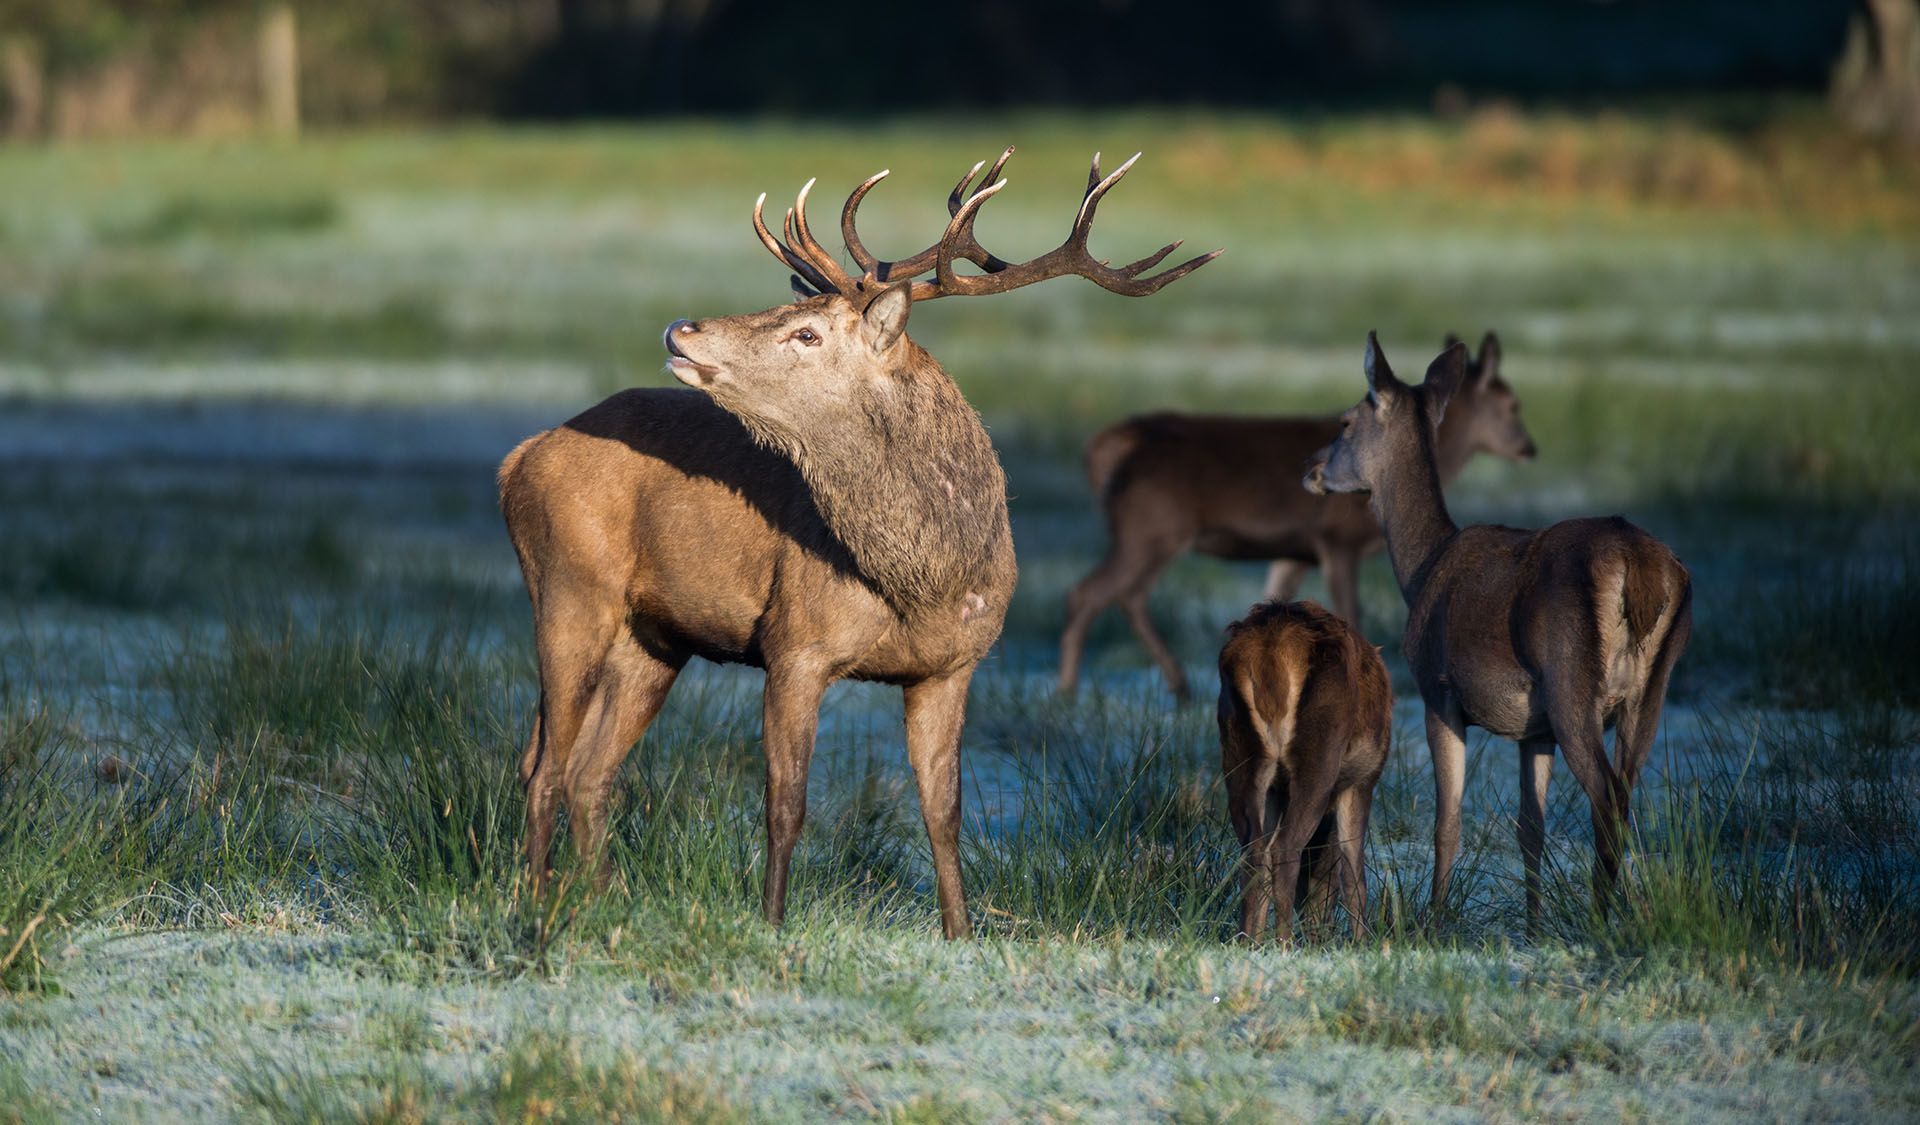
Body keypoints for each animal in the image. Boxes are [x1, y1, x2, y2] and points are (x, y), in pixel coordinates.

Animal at [495, 148, 1213, 936]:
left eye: (806, 333)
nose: (682, 328)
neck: (924, 584)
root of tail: (521, 458)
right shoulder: (794, 644)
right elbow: (786, 806)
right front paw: (773, 925)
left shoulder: (954, 666)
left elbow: (944, 813)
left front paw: (961, 933)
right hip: (569, 587)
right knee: (541, 765)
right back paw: (535, 905)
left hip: (654, 636)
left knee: (589, 771)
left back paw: (601, 901)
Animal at [1059, 330, 1536, 698]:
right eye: (1513, 404)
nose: (1529, 447)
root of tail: (1101, 451)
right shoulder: (1338, 538)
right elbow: (1353, 613)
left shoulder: (1296, 551)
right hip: (1148, 527)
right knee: (1090, 592)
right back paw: (1069, 690)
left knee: (1126, 595)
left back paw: (1177, 686)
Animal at [1221, 598, 1390, 940]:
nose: (1319, 932)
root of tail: (1272, 652)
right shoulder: (1362, 780)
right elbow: (1354, 874)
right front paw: (1363, 943)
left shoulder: (1276, 790)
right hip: (1319, 755)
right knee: (1285, 849)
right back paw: (1285, 943)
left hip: (1240, 753)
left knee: (1254, 851)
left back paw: (1249, 941)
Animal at [1297, 335, 1689, 929]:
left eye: (1345, 421)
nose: (1312, 468)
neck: (1422, 569)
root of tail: (1641, 565)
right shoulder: (1534, 730)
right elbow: (1531, 827)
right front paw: (1532, 924)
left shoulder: (1437, 689)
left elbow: (1448, 821)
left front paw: (1434, 918)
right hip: (1651, 691)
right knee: (1625, 792)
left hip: (1572, 678)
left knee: (1605, 796)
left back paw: (1600, 917)